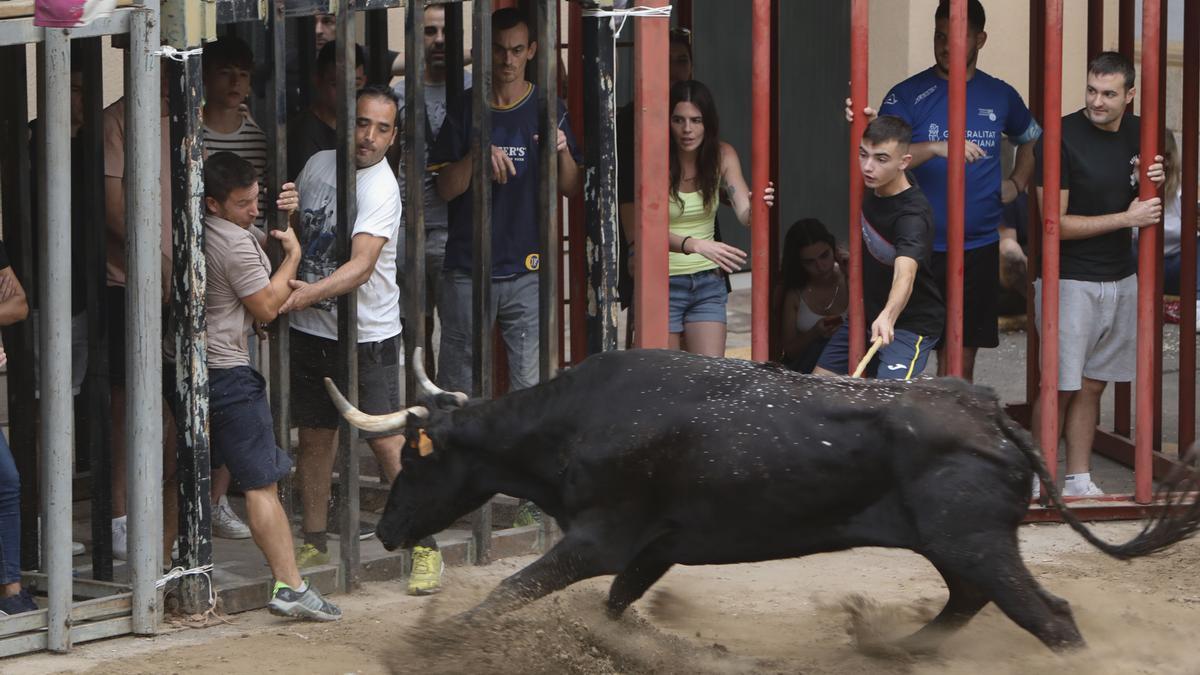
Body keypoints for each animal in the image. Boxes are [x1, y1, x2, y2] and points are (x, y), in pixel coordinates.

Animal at [321, 348, 1200, 648]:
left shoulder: (602, 536)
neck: (571, 421)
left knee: (1049, 616)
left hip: (975, 542)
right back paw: (893, 647)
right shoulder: (655, 546)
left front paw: (436, 642)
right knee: (966, 603)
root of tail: (989, 410)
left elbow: (509, 590)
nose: (388, 531)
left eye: (416, 463)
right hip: (960, 546)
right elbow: (615, 603)